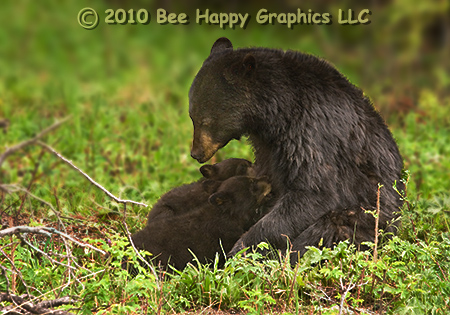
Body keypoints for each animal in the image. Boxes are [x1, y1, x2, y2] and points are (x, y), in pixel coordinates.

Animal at [188, 37, 406, 262]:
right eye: (192, 116)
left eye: (205, 121)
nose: (196, 153)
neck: (278, 110)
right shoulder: (267, 145)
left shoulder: (311, 130)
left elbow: (314, 192)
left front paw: (241, 249)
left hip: (368, 218)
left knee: (329, 227)